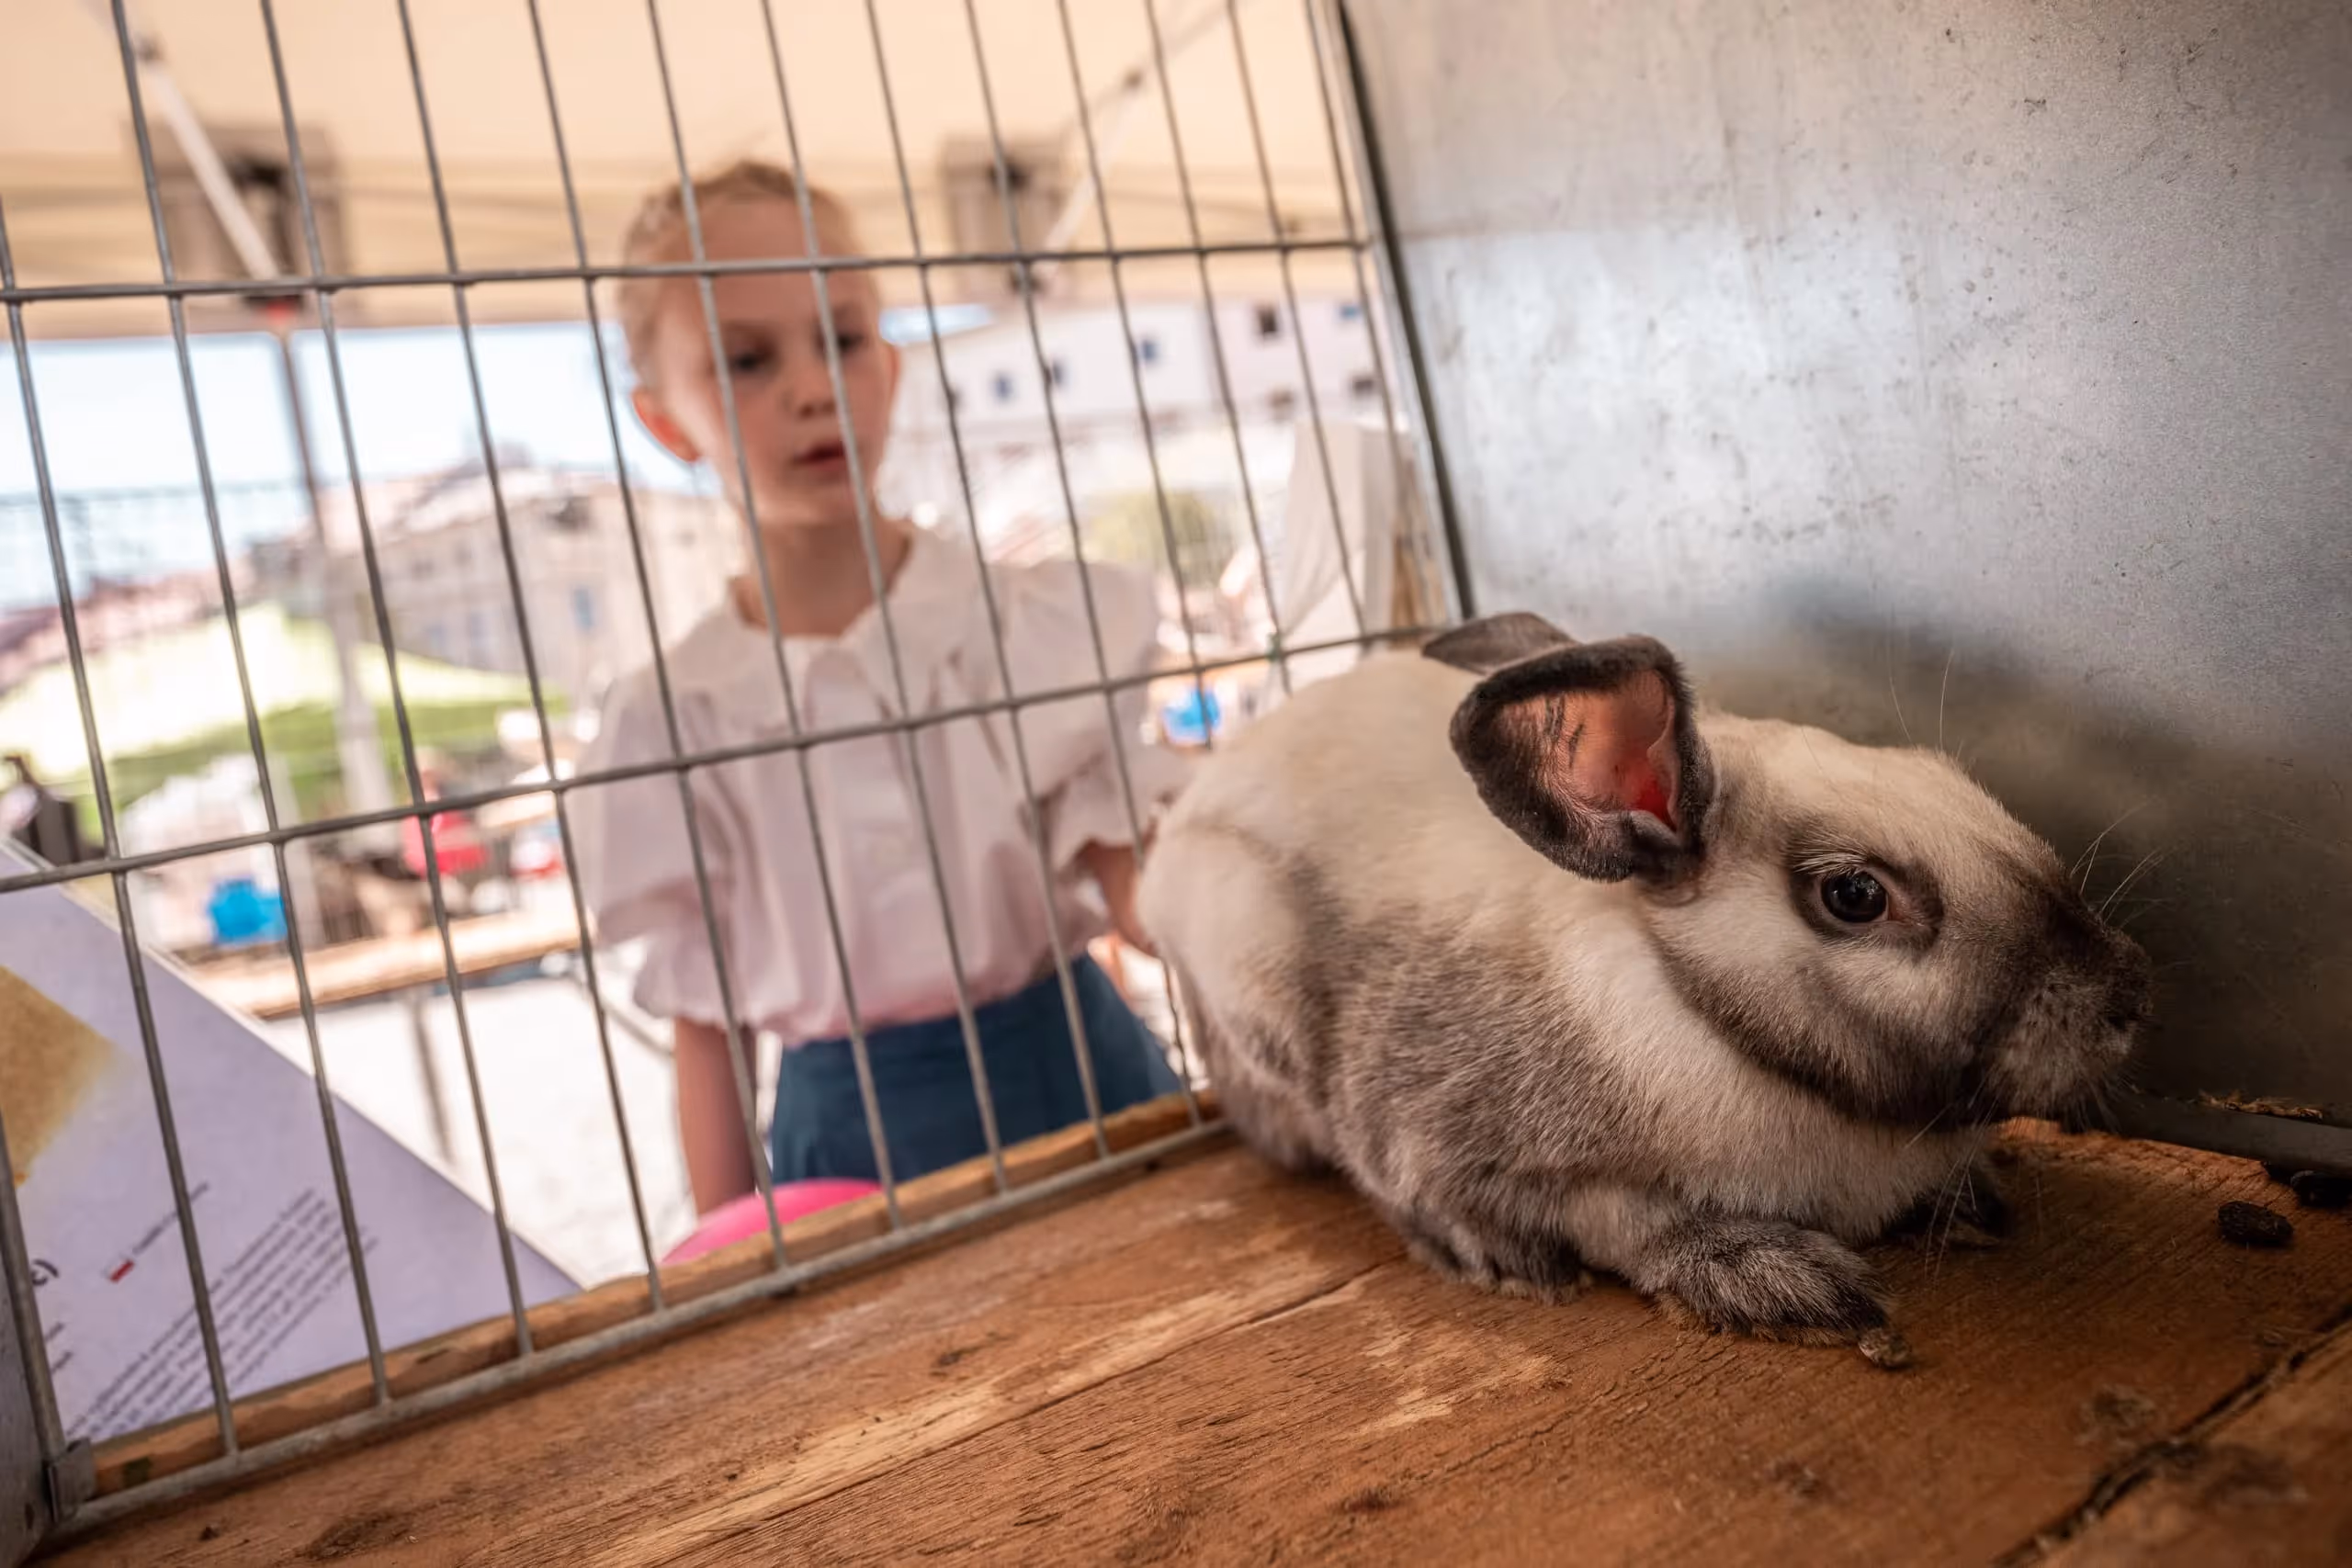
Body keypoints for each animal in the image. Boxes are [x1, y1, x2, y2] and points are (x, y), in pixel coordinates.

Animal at [1139, 612, 2152, 1362]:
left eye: (1947, 775)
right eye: (1854, 894)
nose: (2127, 995)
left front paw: (1971, 1201)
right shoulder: (1453, 1146)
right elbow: (1614, 1221)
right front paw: (1767, 1275)